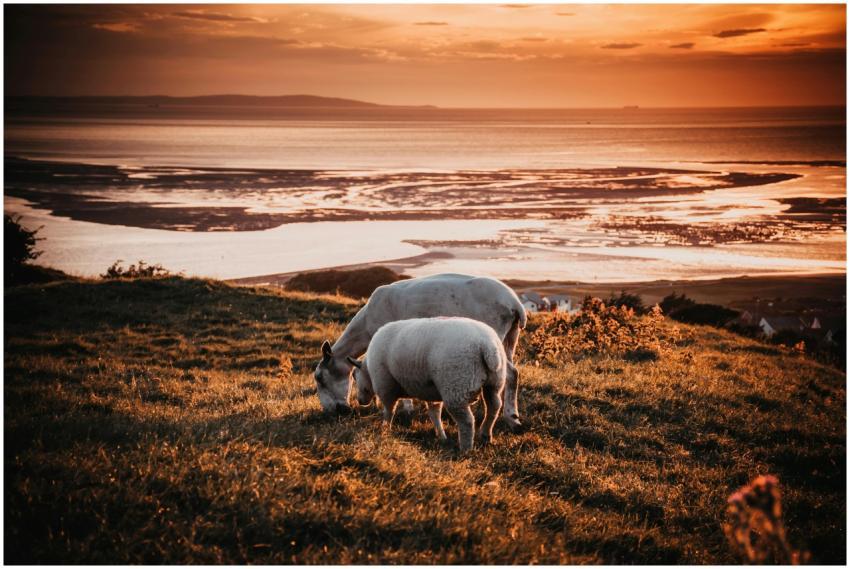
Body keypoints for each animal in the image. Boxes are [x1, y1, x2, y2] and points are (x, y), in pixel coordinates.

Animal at [314, 273, 526, 429]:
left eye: (320, 378)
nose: (331, 412)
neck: (364, 327)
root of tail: (515, 304)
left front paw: (406, 409)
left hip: (495, 336)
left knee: (510, 374)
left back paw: (512, 418)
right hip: (510, 338)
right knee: (513, 373)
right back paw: (511, 415)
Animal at [346, 317, 508, 452]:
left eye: (354, 376)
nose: (360, 401)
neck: (368, 369)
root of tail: (487, 346)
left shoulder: (385, 386)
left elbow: (389, 410)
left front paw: (385, 429)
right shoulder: (432, 392)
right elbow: (434, 414)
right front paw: (441, 436)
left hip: (456, 386)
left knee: (467, 421)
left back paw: (465, 449)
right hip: (494, 382)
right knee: (494, 406)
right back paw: (486, 435)